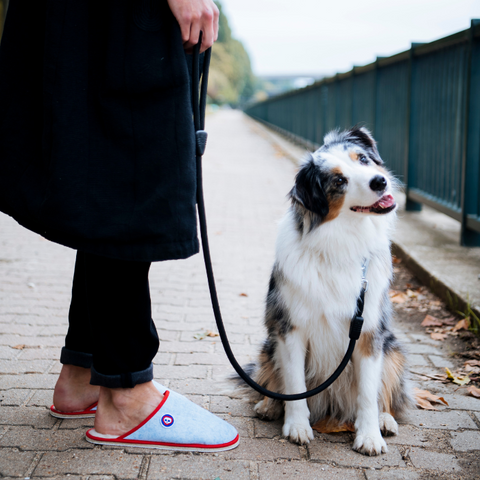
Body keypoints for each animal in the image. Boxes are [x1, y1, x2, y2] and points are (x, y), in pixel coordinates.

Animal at [246, 126, 410, 454]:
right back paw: (269, 405)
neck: (341, 244)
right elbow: (294, 382)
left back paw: (385, 419)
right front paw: (297, 426)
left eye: (363, 159)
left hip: (392, 348)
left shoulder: (369, 332)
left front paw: (369, 435)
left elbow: (368, 393)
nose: (380, 181)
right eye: (339, 181)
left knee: (385, 394)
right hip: (269, 343)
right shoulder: (290, 328)